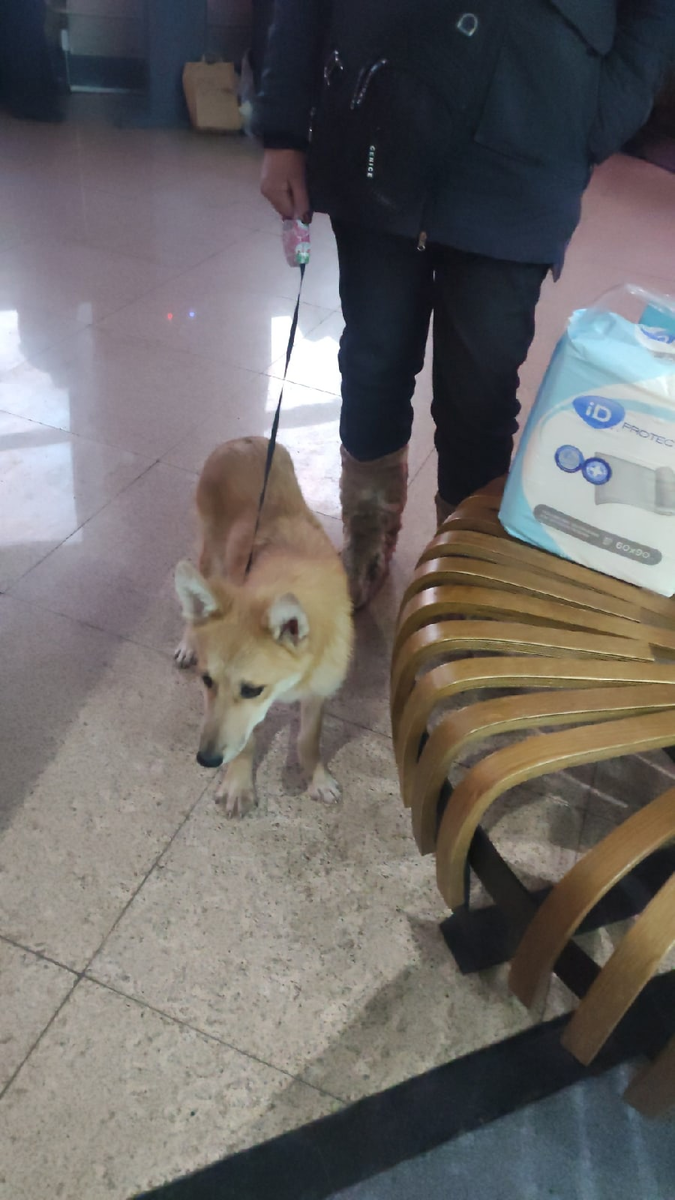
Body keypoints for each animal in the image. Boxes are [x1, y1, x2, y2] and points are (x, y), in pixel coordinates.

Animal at [172, 436, 353, 820]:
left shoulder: (318, 689)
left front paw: (316, 777)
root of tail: (241, 441)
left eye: (252, 689)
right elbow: (246, 741)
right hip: (212, 555)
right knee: (194, 611)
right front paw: (238, 785)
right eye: (206, 681)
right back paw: (188, 643)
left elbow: (308, 739)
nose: (206, 760)